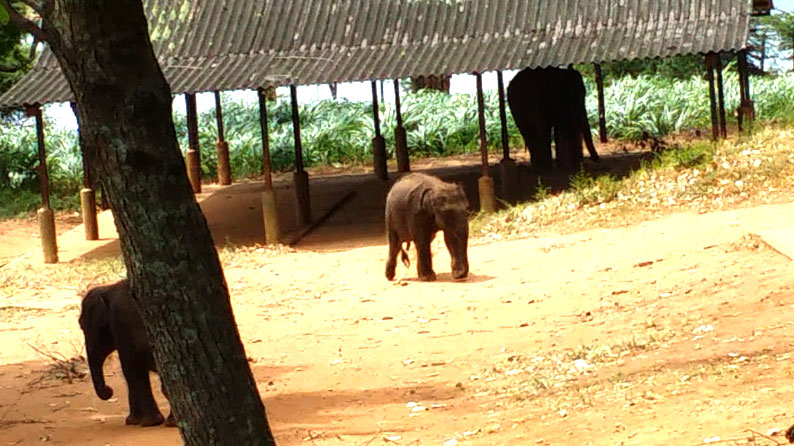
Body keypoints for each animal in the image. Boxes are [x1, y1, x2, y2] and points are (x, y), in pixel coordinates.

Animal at [78, 278, 174, 428]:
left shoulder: (121, 323)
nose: (109, 390)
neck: (107, 289)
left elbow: (130, 369)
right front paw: (132, 421)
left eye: (81, 325)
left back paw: (171, 422)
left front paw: (148, 423)